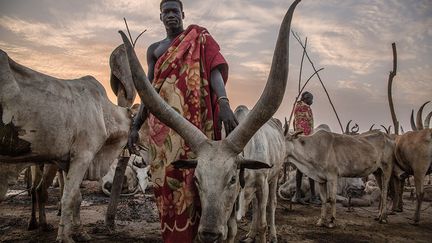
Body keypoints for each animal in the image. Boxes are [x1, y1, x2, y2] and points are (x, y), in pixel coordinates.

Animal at [0, 49, 132, 243]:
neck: (102, 110)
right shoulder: (83, 156)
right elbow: (68, 197)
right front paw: (65, 237)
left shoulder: (67, 161)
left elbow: (76, 197)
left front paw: (80, 232)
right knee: (38, 190)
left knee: (38, 190)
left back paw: (38, 223)